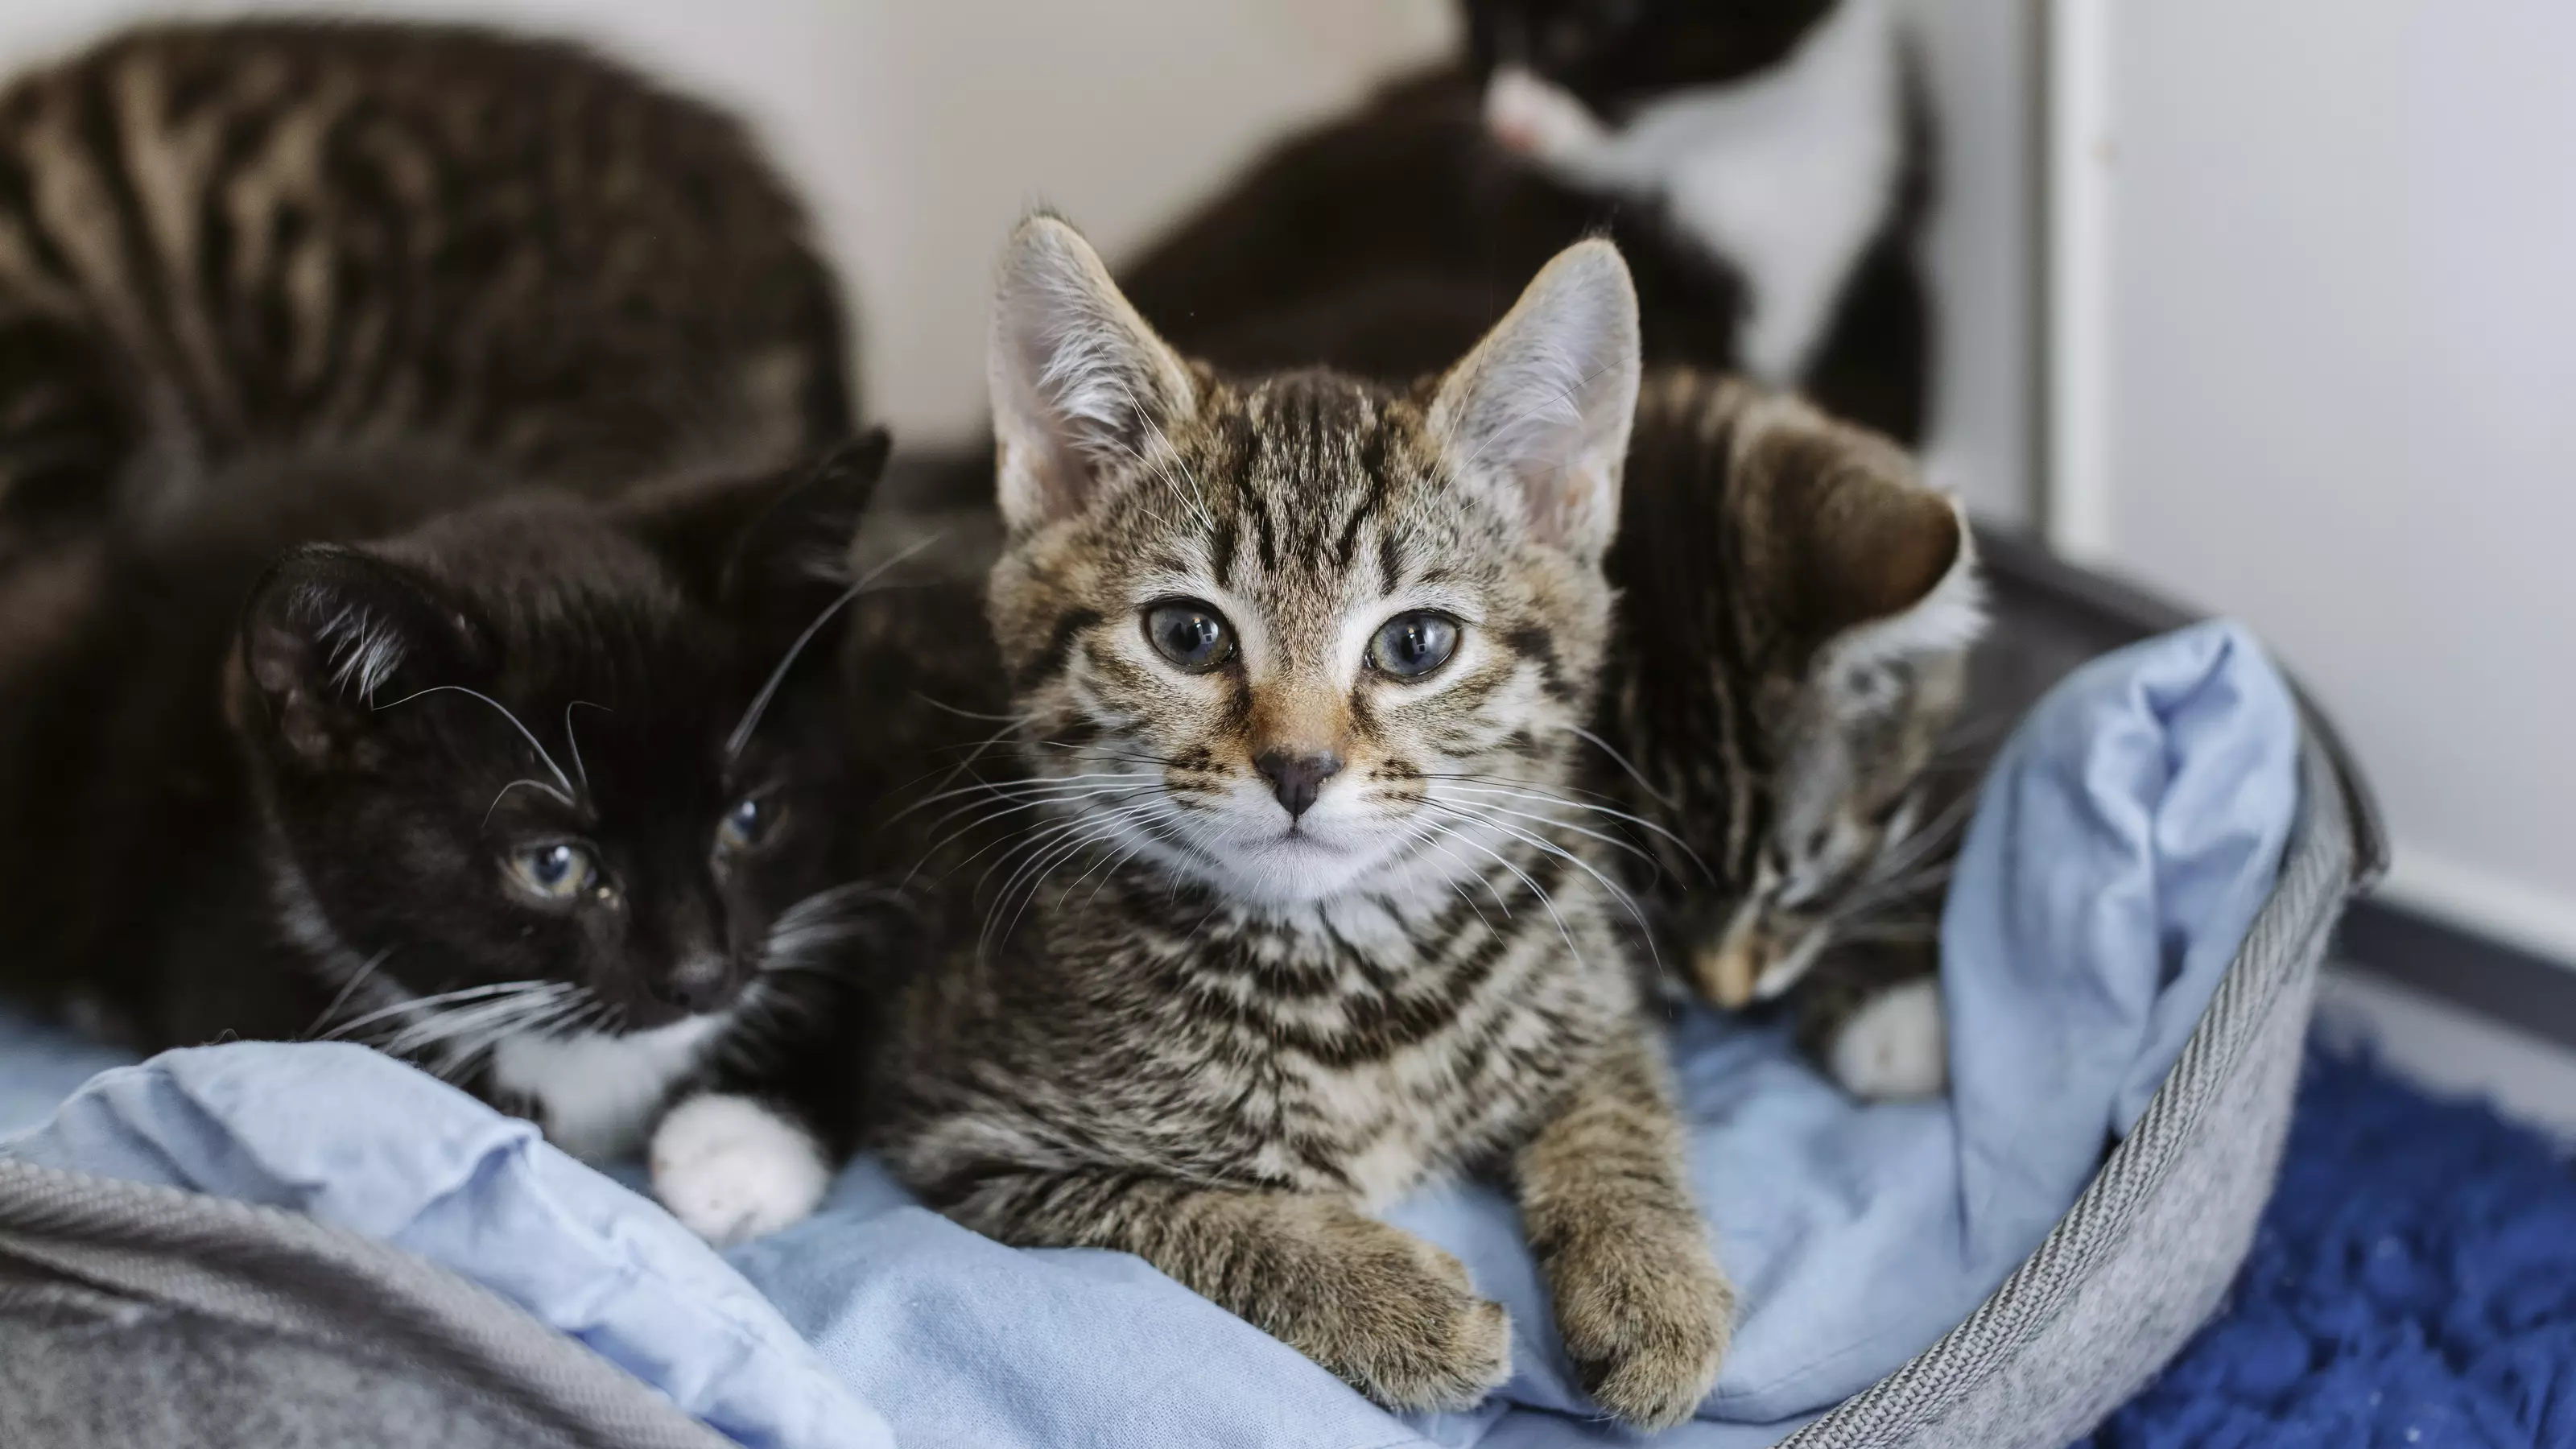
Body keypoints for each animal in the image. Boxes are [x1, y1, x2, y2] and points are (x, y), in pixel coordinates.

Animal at [865, 217, 1731, 1422]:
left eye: (1415, 644)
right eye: (1188, 635)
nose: (1298, 767)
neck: (1355, 981)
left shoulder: (1591, 988)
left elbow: (1621, 1107)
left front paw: (1653, 1285)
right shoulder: (968, 1137)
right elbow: (1180, 1215)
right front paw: (1389, 1303)